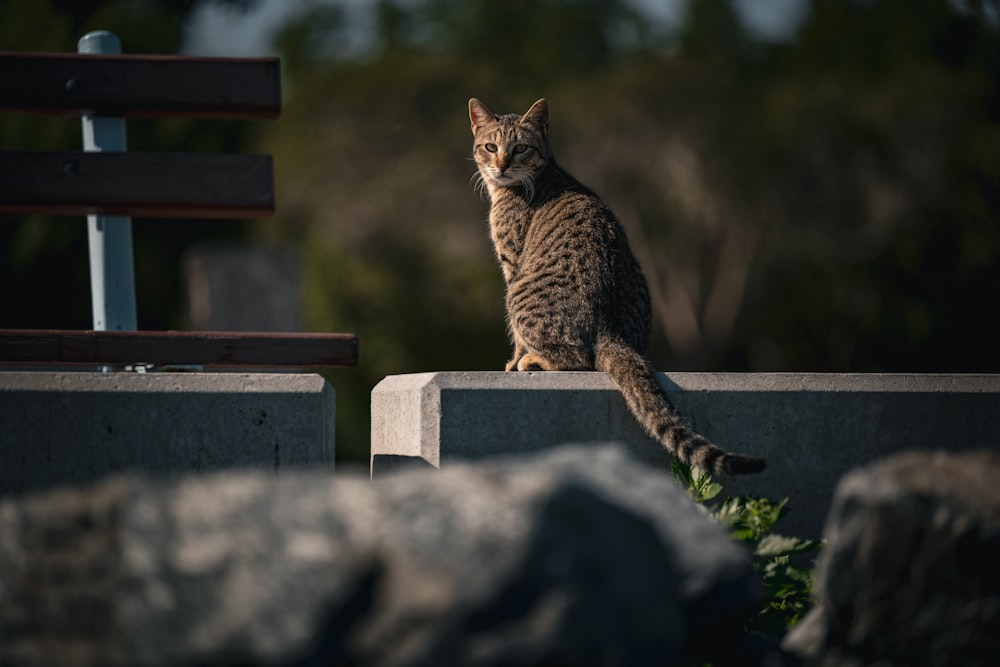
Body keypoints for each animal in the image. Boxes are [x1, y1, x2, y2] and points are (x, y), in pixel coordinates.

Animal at [468, 98, 764, 474]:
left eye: (520, 148)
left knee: (579, 358)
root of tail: (610, 330)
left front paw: (513, 360)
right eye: (490, 147)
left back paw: (533, 360)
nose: (502, 165)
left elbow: (518, 340)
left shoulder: (512, 264)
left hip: (518, 294)